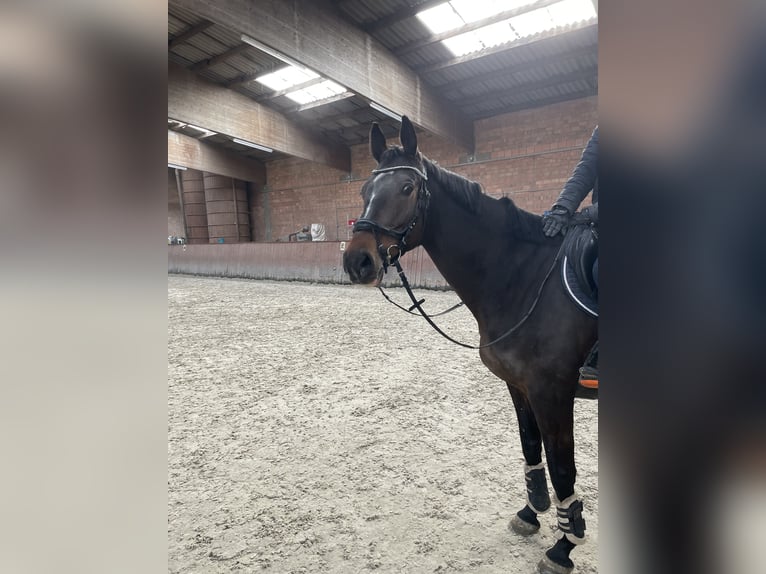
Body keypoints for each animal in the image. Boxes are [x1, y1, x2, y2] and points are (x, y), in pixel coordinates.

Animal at [343, 116, 597, 574]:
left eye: (407, 188)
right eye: (364, 191)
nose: (358, 262)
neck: (525, 277)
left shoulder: (553, 392)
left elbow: (562, 467)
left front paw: (564, 547)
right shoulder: (520, 386)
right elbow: (531, 446)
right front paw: (531, 512)